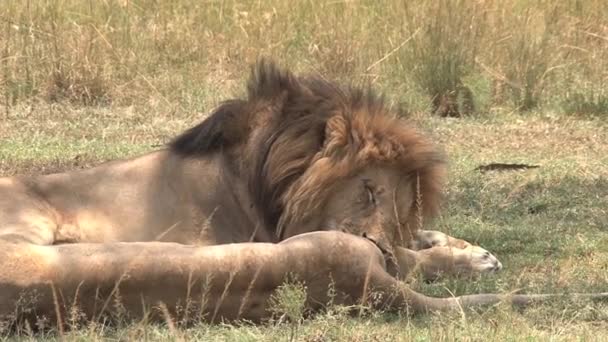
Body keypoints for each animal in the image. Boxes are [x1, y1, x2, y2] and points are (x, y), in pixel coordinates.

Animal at [0, 61, 604, 326]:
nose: (381, 245)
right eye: (367, 191)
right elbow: (415, 258)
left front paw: (461, 245)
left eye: (401, 203)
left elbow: (418, 242)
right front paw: (467, 258)